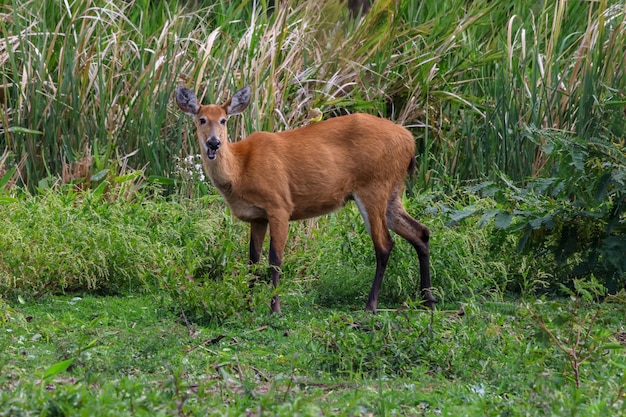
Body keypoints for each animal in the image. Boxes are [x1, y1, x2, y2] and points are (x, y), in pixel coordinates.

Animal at [173, 84, 432, 312]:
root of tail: (409, 141)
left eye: (224, 120)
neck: (240, 169)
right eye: (201, 119)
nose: (213, 143)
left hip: (373, 186)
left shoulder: (279, 205)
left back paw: (371, 306)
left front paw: (275, 308)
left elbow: (275, 259)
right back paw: (427, 300)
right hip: (393, 191)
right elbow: (253, 260)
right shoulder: (257, 217)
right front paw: (247, 305)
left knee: (384, 244)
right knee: (421, 232)